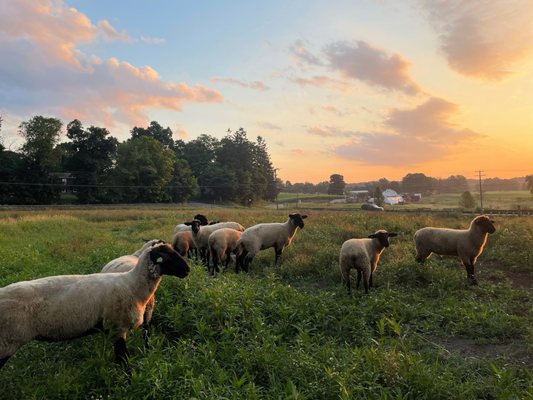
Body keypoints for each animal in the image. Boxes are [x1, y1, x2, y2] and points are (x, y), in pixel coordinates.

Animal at [0, 239, 190, 370]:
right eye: (166, 256)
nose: (188, 270)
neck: (132, 285)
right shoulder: (117, 327)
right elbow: (123, 360)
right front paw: (127, 382)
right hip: (7, 342)